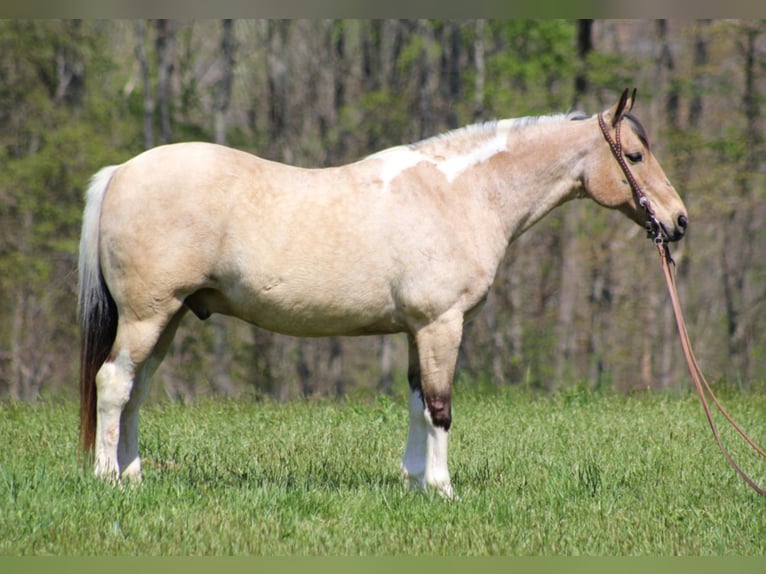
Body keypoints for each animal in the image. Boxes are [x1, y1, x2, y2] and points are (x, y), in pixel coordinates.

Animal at [78, 90, 688, 500]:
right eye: (635, 156)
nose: (678, 221)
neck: (461, 194)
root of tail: (121, 172)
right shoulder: (442, 324)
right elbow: (440, 407)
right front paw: (442, 488)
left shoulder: (419, 330)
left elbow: (417, 401)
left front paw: (414, 481)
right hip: (147, 315)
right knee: (113, 383)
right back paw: (107, 478)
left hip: (171, 317)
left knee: (137, 390)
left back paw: (132, 476)